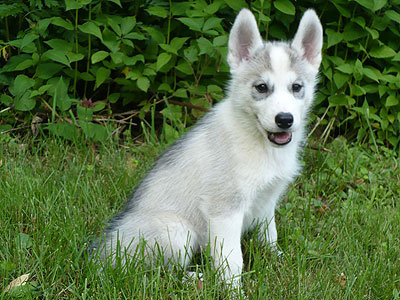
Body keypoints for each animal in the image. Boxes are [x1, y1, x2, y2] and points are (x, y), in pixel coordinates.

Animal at [93, 8, 322, 286]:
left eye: (296, 87)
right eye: (261, 87)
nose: (285, 119)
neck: (258, 142)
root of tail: (103, 257)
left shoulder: (267, 200)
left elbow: (270, 236)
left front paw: (278, 262)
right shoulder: (224, 209)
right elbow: (233, 261)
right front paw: (234, 290)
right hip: (177, 231)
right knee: (159, 274)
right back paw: (196, 278)